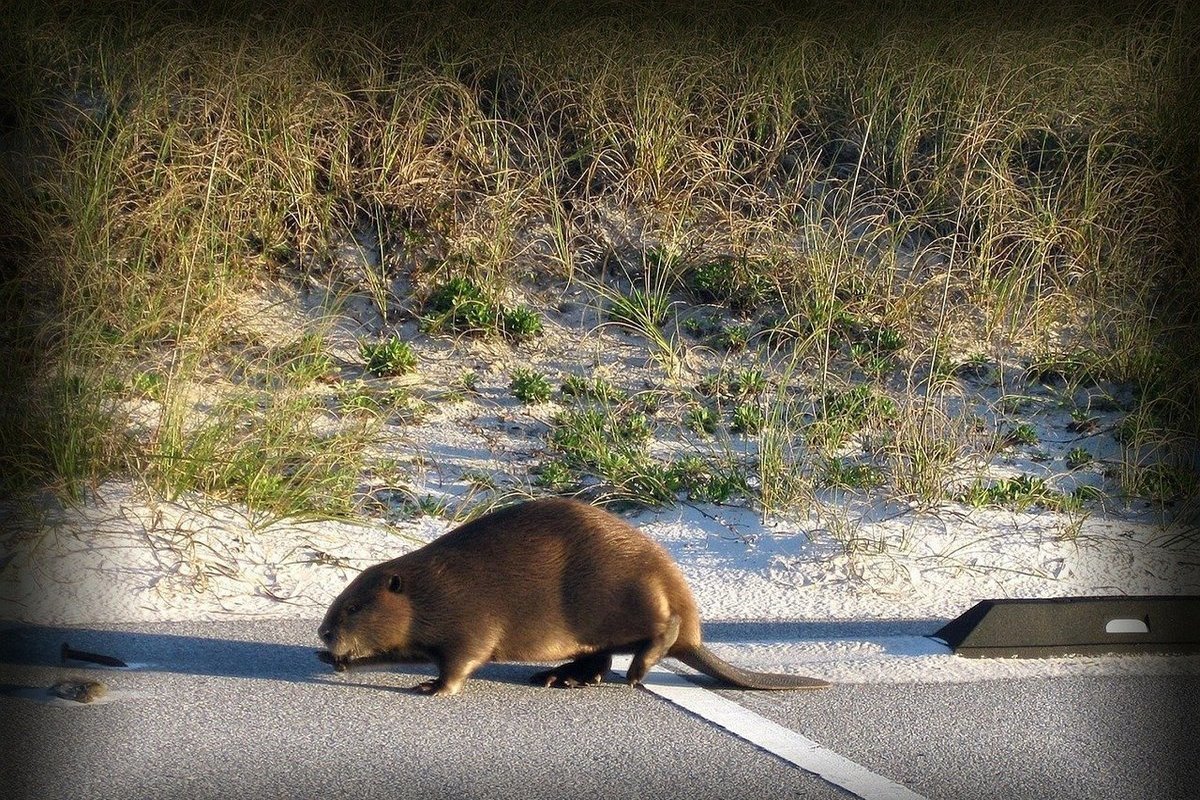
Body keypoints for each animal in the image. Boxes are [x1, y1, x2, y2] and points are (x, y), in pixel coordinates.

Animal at [314, 501, 830, 695]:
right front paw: (332, 660)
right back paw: (561, 676)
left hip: (626, 597)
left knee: (661, 629)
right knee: (600, 656)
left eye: (353, 606)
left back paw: (635, 672)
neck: (428, 587)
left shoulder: (468, 616)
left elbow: (463, 660)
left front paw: (431, 687)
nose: (323, 632)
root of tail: (697, 638)